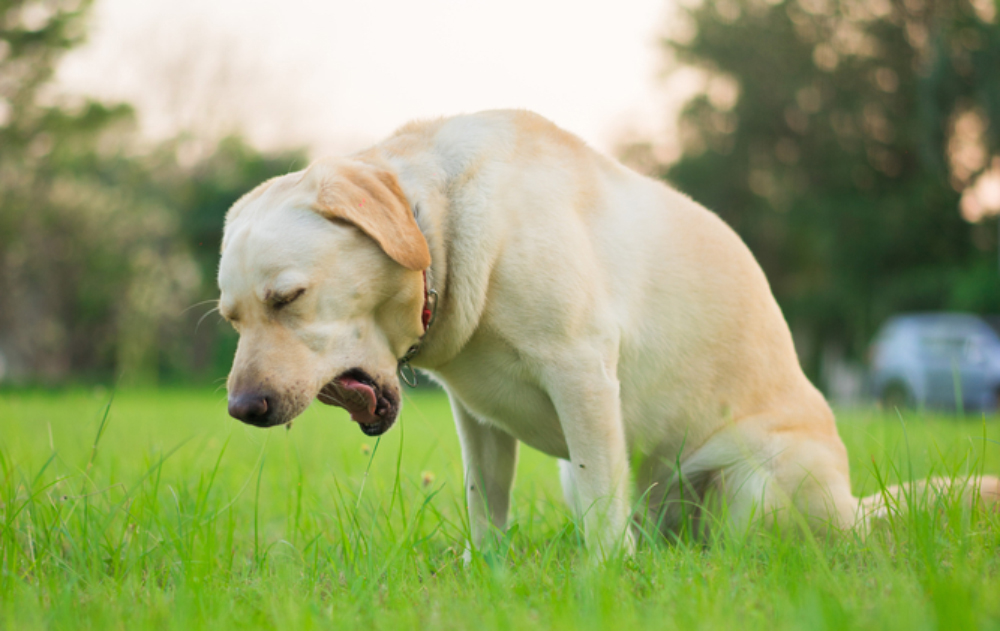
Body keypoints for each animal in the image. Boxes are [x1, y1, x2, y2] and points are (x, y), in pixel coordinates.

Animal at [221, 111, 1000, 556]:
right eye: (232, 316)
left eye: (288, 298)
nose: (243, 409)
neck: (439, 225)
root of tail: (854, 512)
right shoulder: (477, 418)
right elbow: (486, 503)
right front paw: (488, 571)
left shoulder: (582, 373)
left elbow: (602, 512)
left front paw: (601, 581)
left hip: (756, 484)